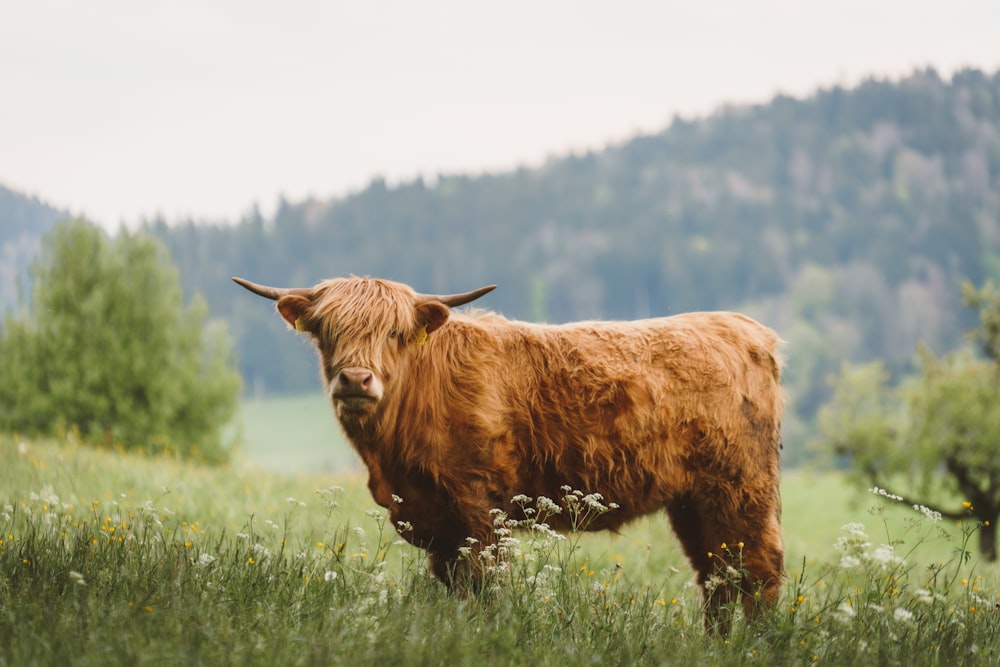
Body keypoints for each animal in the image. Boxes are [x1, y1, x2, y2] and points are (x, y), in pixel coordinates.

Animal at [236, 276, 788, 632]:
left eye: (394, 334)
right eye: (328, 332)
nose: (355, 379)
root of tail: (748, 330)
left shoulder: (479, 508)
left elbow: (485, 585)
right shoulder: (436, 520)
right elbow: (454, 586)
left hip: (740, 487)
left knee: (759, 571)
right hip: (693, 501)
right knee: (717, 575)